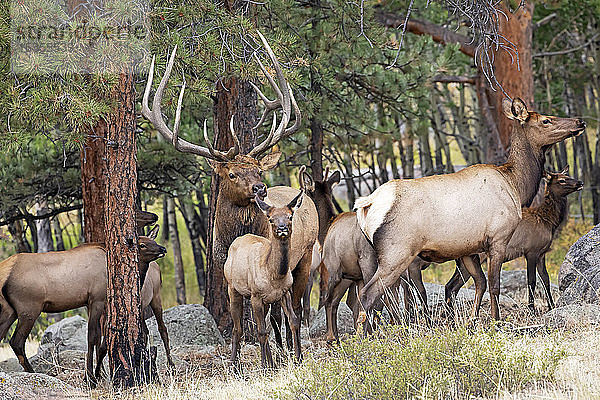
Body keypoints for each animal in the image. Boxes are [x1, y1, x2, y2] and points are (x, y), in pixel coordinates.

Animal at [225, 192, 304, 368]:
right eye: (271, 218)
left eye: (290, 216)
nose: (282, 228)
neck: (274, 275)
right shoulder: (255, 295)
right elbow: (260, 332)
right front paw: (264, 366)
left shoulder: (284, 293)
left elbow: (293, 321)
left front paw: (298, 359)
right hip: (233, 288)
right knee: (238, 328)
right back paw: (234, 365)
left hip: (265, 301)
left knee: (263, 327)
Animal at [446, 168, 580, 312]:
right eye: (561, 180)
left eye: (567, 175)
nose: (580, 182)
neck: (549, 222)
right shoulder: (531, 251)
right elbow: (532, 281)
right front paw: (531, 309)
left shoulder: (541, 253)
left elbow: (546, 279)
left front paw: (551, 306)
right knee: (453, 285)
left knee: (451, 285)